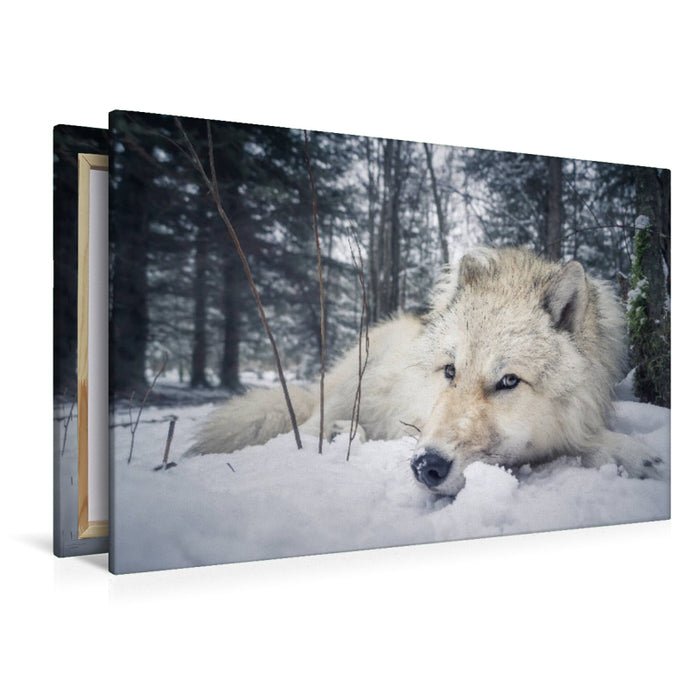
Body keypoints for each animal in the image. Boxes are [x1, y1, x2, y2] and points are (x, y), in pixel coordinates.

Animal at [188, 246, 663, 496]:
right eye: (450, 371)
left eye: (509, 381)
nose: (426, 467)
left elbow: (586, 444)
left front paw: (636, 457)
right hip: (351, 385)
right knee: (306, 426)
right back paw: (340, 434)